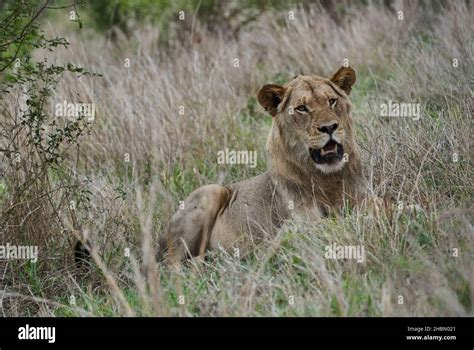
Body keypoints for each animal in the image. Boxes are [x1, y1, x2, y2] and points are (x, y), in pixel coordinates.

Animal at [161, 65, 368, 266]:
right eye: (302, 108)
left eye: (332, 101)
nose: (329, 127)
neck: (328, 177)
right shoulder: (300, 222)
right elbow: (332, 222)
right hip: (210, 192)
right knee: (173, 266)